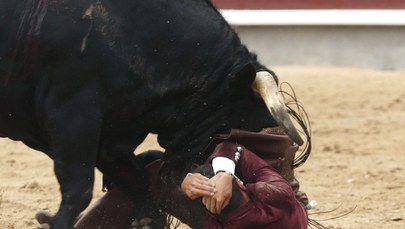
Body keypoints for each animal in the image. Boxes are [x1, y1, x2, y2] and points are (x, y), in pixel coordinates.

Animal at [0, 0, 304, 228]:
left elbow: (136, 178)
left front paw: (147, 219)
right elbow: (79, 187)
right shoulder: (74, 115)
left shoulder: (112, 135)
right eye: (244, 123)